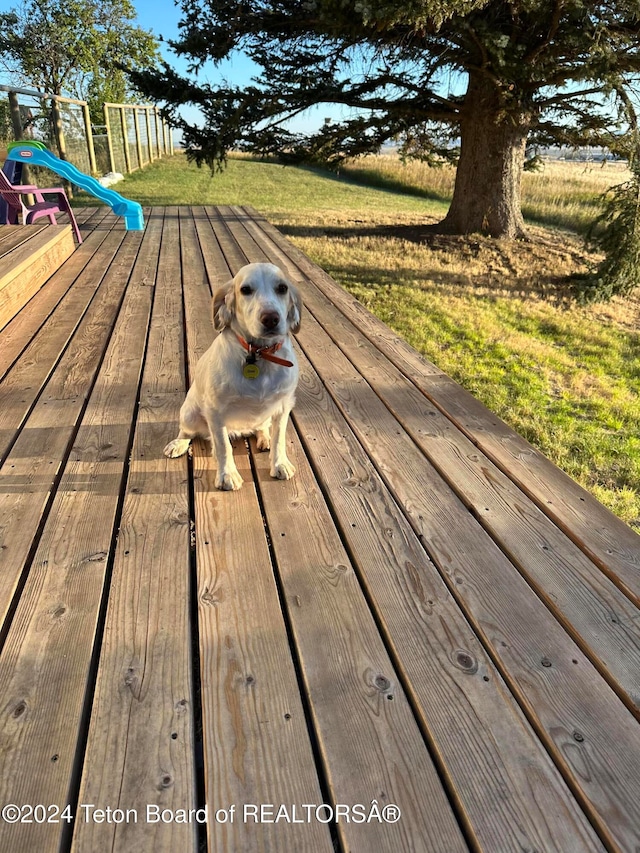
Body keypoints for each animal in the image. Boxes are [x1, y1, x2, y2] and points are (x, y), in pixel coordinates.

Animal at [166, 260, 304, 490]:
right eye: (245, 290)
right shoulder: (215, 411)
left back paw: (264, 438)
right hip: (189, 413)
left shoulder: (284, 405)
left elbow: (279, 439)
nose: (271, 319)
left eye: (282, 288)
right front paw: (227, 475)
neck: (259, 354)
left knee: (262, 427)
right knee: (186, 432)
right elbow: (223, 446)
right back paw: (178, 443)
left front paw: (280, 463)